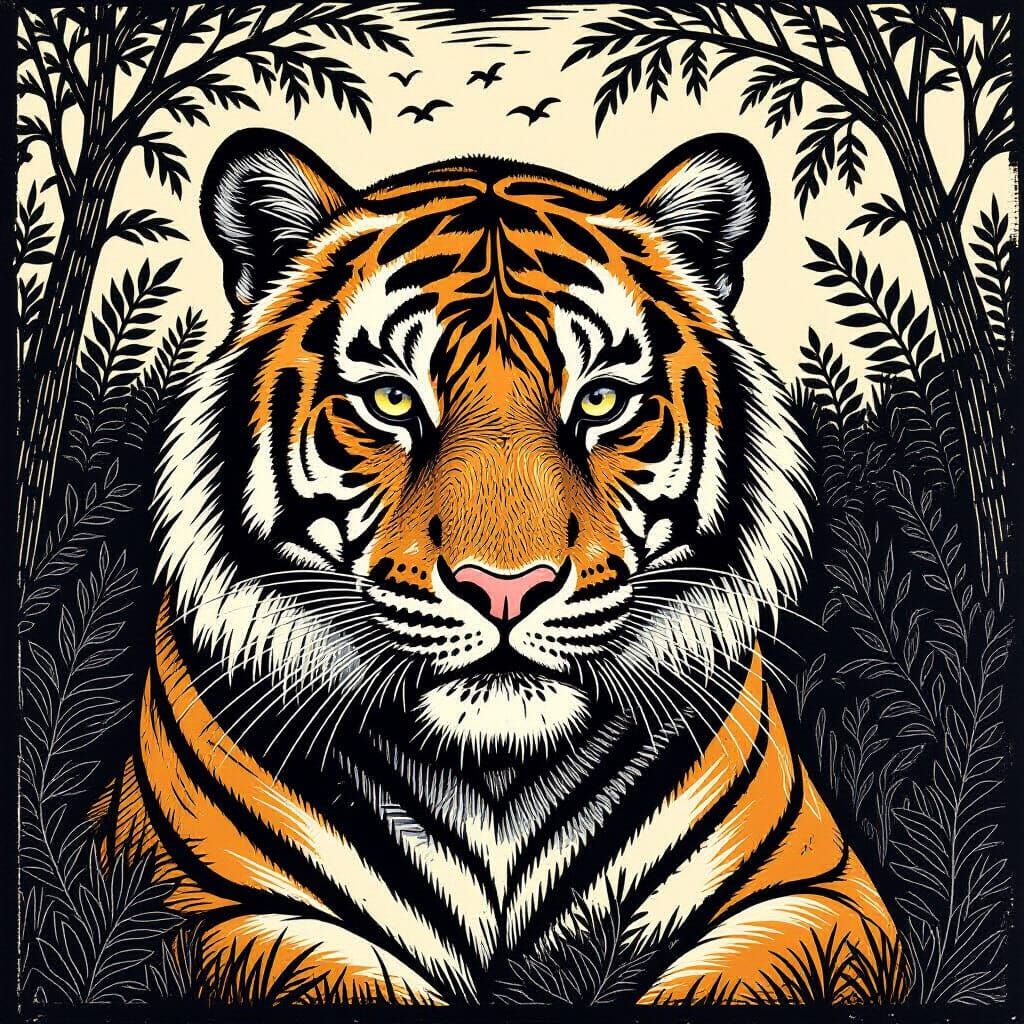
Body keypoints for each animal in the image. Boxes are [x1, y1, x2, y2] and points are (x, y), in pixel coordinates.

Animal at [93, 127, 904, 1005]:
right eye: (390, 400)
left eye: (600, 401)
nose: (507, 590)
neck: (497, 780)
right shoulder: (197, 904)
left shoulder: (819, 893)